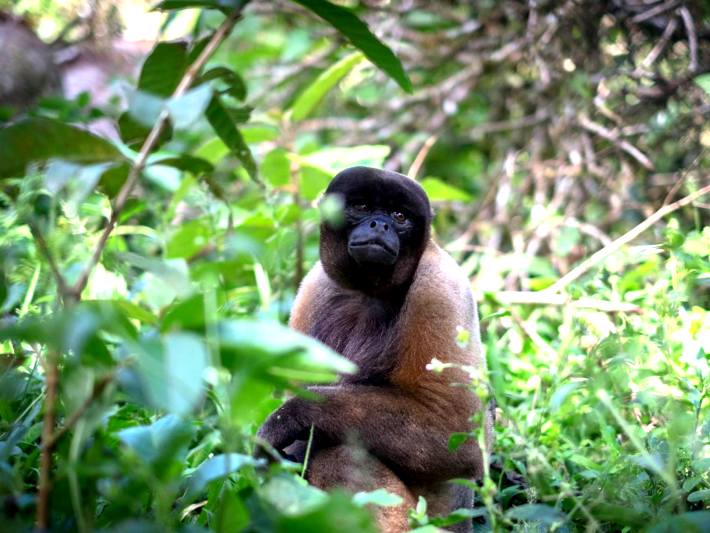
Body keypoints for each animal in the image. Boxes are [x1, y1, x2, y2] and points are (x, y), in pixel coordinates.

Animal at [258, 166, 496, 532]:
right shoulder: (313, 285)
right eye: (362, 207)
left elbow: (460, 434)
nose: (379, 225)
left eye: (399, 217)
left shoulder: (441, 286)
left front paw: (287, 420)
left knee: (338, 456)